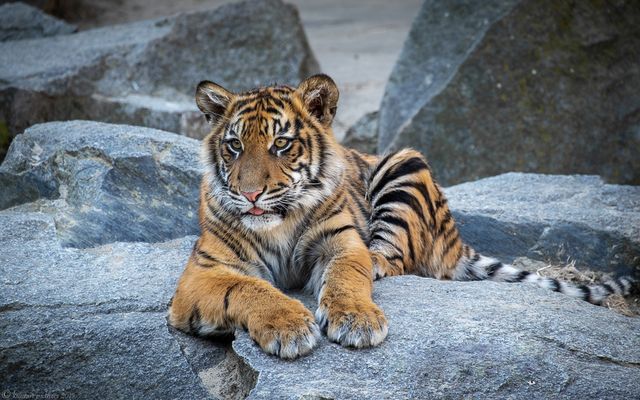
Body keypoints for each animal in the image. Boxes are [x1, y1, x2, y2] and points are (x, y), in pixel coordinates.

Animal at [168, 74, 638, 359]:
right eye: (234, 146)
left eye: (281, 144)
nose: (250, 194)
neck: (278, 223)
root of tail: (455, 232)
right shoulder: (202, 273)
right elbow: (249, 289)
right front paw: (289, 327)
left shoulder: (342, 242)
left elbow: (347, 277)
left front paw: (356, 320)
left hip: (405, 164)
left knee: (394, 258)